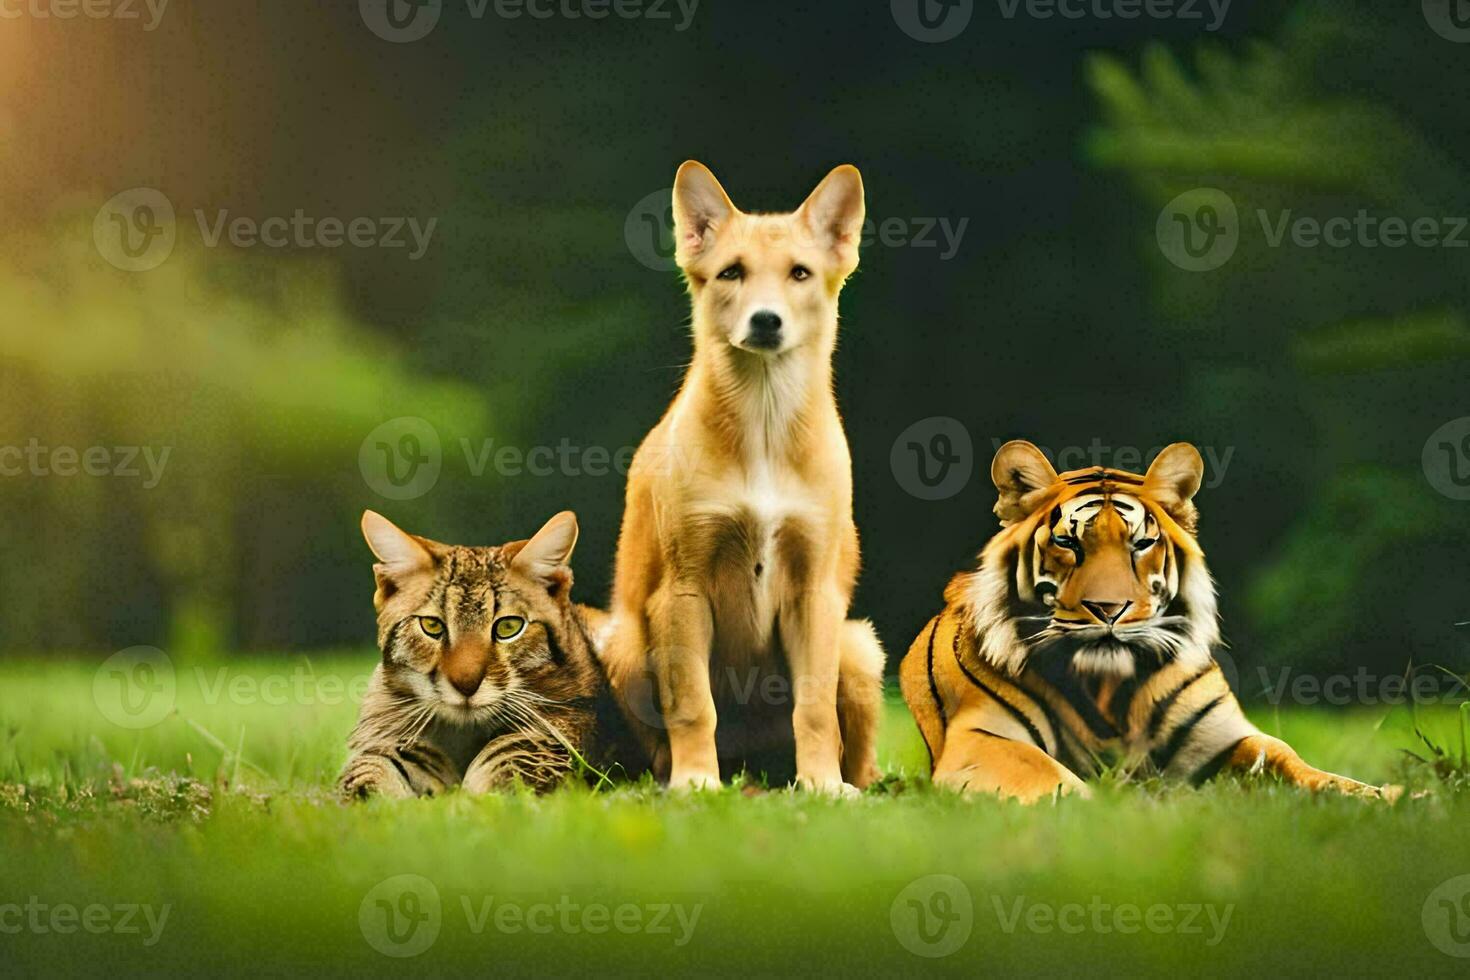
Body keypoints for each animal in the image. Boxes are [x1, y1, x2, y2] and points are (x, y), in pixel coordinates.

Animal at [338, 511, 637, 799]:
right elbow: (373, 766)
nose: (466, 685)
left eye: (508, 627)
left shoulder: (567, 730)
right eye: (432, 626)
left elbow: (514, 752)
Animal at [599, 157, 882, 793]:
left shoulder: (815, 591)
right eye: (731, 272)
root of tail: (754, 763)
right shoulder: (680, 589)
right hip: (624, 645)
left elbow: (814, 708)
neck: (763, 433)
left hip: (858, 647)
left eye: (800, 273)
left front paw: (823, 786)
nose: (766, 321)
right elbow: (691, 704)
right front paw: (695, 782)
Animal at [893, 440, 1399, 799]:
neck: (1108, 687)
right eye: (1067, 543)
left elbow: (1294, 761)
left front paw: (1389, 795)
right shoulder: (982, 738)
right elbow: (1050, 777)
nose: (1108, 608)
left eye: (1139, 544)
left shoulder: (1223, 741)